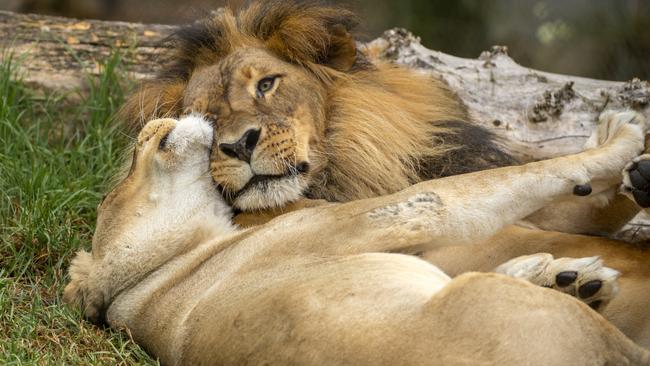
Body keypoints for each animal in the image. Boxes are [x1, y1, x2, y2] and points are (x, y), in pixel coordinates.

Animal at [63, 114, 644, 366]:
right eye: (122, 175)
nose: (147, 125)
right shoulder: (397, 214)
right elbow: (502, 181)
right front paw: (623, 140)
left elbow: (577, 207)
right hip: (485, 300)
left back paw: (571, 279)